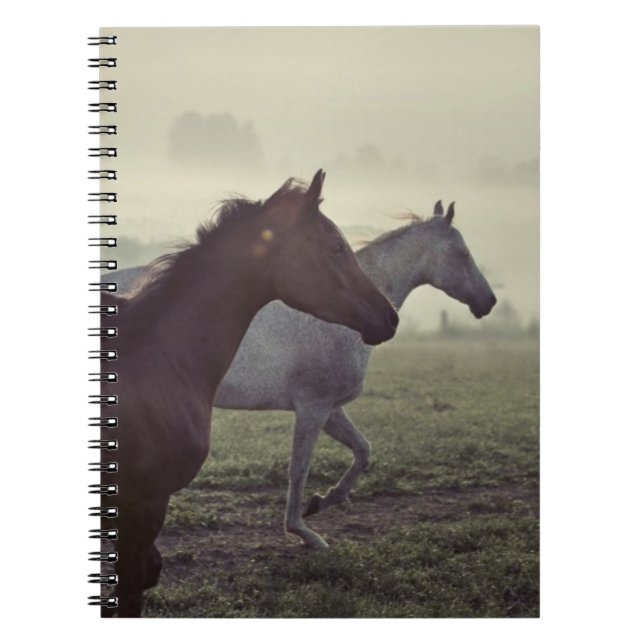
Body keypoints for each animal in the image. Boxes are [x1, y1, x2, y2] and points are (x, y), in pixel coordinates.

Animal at [112, 199, 496, 551]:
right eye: (462, 253)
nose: (488, 301)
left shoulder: (331, 410)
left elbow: (363, 451)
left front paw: (323, 501)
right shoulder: (313, 408)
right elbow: (299, 469)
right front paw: (304, 531)